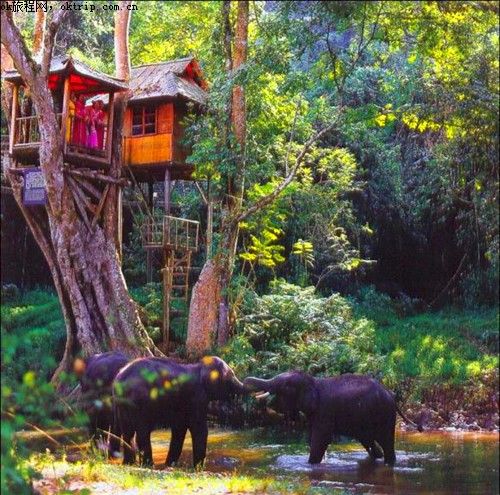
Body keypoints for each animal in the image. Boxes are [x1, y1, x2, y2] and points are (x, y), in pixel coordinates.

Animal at [113, 356, 246, 468]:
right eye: (231, 376)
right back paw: (148, 465)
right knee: (142, 432)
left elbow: (179, 429)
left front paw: (170, 465)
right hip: (141, 403)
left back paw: (129, 463)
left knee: (127, 432)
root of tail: (121, 378)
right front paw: (198, 468)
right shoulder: (197, 398)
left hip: (123, 405)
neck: (199, 366)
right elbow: (199, 429)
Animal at [244, 374, 424, 466]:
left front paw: (311, 465)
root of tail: (392, 396)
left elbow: (320, 440)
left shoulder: (325, 411)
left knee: (386, 443)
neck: (313, 381)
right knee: (370, 443)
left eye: (286, 385)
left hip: (384, 415)